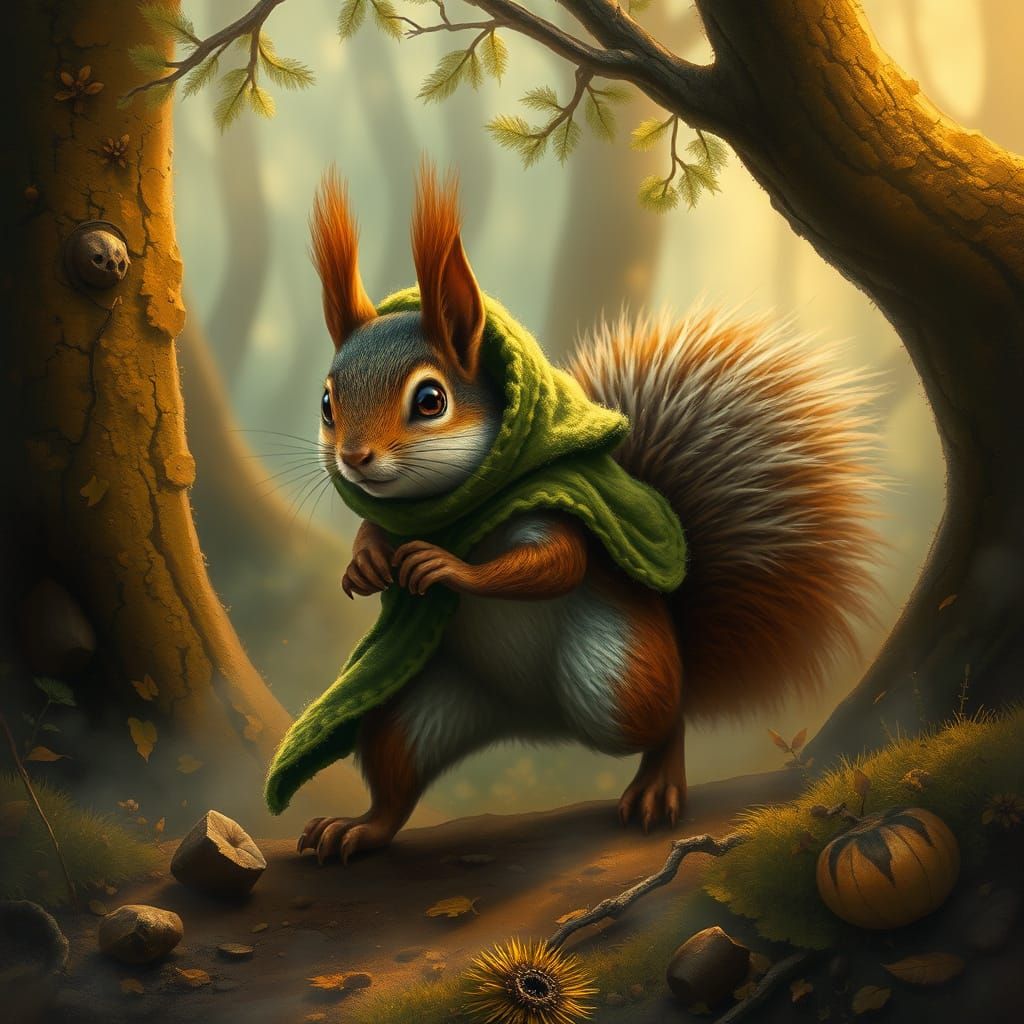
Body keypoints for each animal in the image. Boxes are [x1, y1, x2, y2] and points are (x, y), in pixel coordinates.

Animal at [270, 163, 881, 864]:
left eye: (430, 400)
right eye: (326, 401)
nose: (354, 458)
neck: (456, 510)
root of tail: (529, 720)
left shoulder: (556, 506)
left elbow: (556, 563)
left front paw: (444, 566)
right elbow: (375, 527)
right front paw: (367, 564)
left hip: (622, 682)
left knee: (666, 719)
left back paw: (657, 785)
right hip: (414, 708)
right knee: (396, 779)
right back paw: (359, 828)